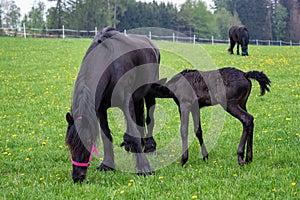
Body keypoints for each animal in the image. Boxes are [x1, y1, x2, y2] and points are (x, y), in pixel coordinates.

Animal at [64, 26, 161, 183]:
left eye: (89, 141)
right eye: (69, 144)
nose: (78, 177)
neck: (109, 66)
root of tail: (152, 44)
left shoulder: (126, 103)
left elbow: (134, 133)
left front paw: (144, 168)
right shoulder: (100, 110)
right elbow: (106, 135)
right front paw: (107, 164)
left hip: (149, 93)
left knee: (149, 119)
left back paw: (150, 146)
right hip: (137, 97)